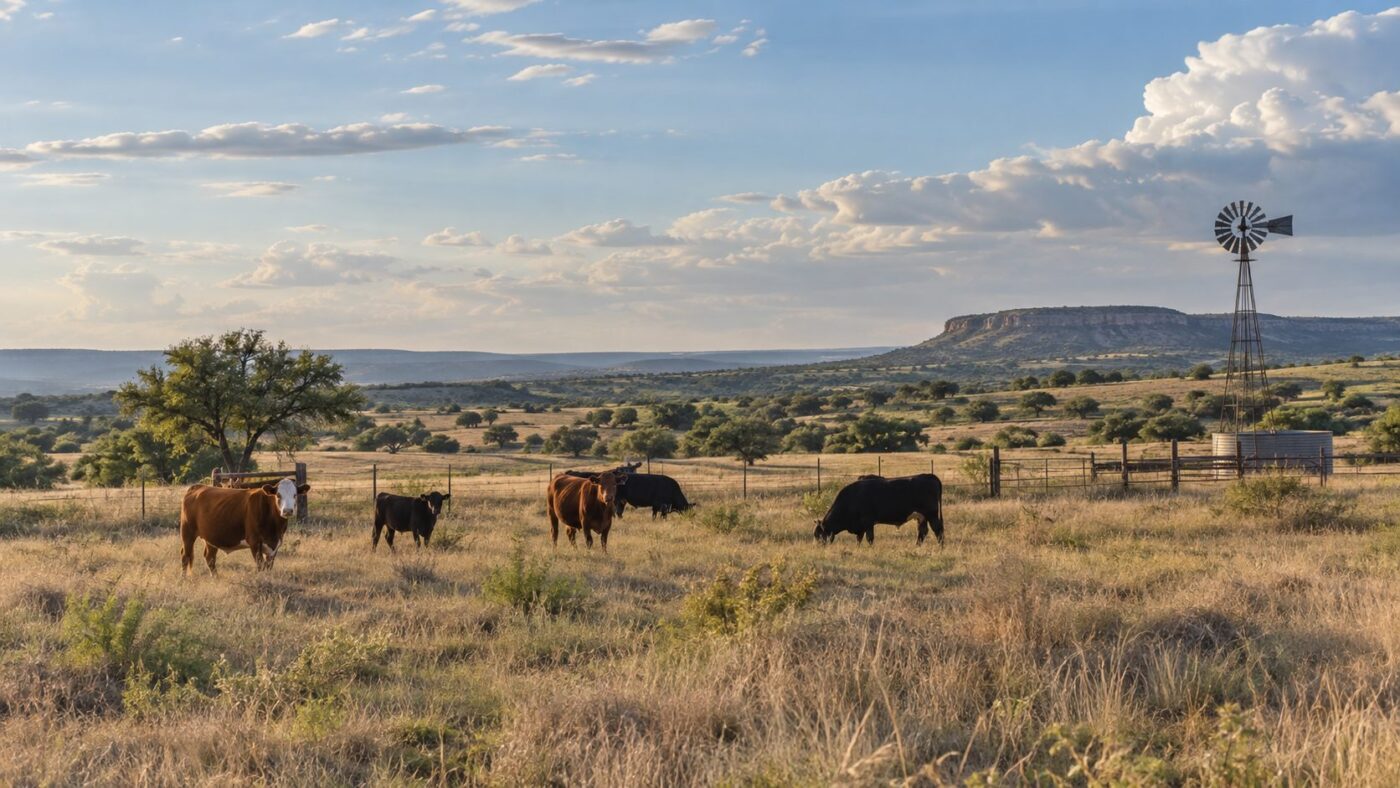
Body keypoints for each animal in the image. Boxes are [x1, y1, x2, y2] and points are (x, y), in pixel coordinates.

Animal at [179, 478, 309, 575]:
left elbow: (268, 567)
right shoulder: (255, 542)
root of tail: (198, 487)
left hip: (211, 537)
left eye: (295, 495)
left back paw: (216, 578)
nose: (287, 511)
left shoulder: (274, 546)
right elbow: (260, 566)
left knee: (210, 558)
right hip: (187, 533)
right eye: (278, 495)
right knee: (185, 556)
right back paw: (184, 579)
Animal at [813, 473, 943, 546]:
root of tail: (928, 475)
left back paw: (940, 547)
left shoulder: (868, 522)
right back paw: (917, 546)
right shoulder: (860, 526)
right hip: (921, 516)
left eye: (819, 535)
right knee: (923, 531)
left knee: (938, 530)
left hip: (931, 514)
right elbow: (859, 539)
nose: (818, 548)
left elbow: (869, 538)